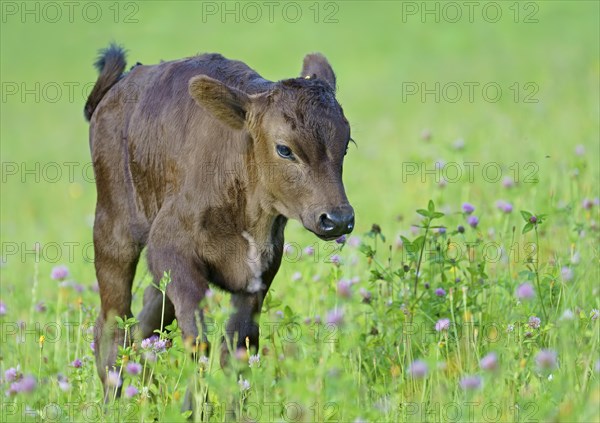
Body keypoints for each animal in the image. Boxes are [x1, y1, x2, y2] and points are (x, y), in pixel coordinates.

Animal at [86, 44, 354, 396]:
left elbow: (238, 351)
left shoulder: (258, 276)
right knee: (113, 323)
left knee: (147, 319)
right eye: (284, 149)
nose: (338, 219)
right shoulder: (170, 250)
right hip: (114, 230)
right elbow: (197, 342)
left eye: (346, 144)